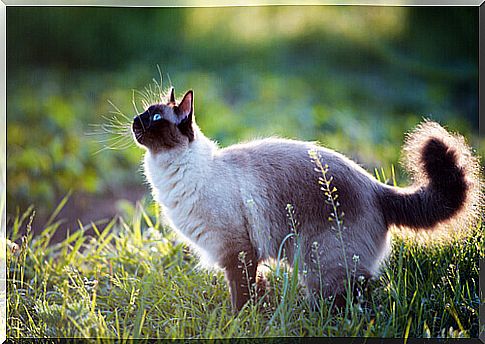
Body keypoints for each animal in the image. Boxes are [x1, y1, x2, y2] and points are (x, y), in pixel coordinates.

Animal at [131, 86, 480, 312]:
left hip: (321, 267)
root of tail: (376, 188)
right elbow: (257, 292)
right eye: (144, 115)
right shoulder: (243, 255)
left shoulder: (237, 252)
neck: (171, 173)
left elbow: (240, 296)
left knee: (360, 297)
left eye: (156, 119)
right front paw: (258, 318)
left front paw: (238, 323)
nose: (135, 122)